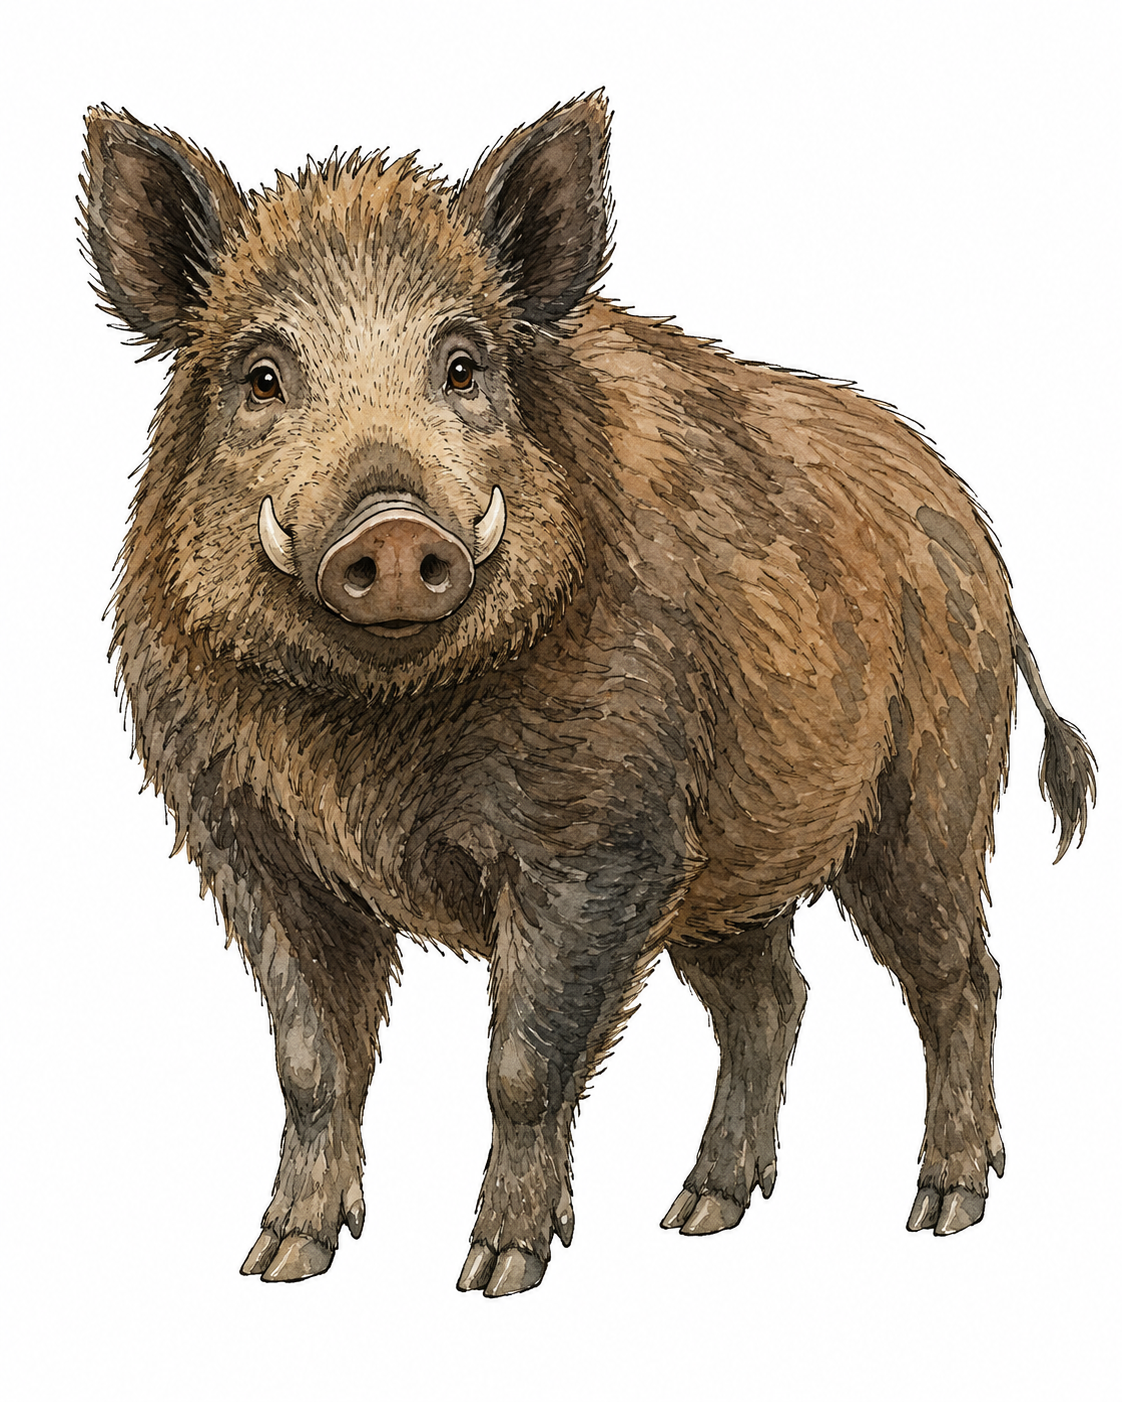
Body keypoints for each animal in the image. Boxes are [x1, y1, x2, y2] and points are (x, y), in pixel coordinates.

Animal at [81, 94, 1095, 1296]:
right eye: (263, 377)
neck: (372, 726)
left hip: (931, 790)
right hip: (733, 865)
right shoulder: (247, 845)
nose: (393, 530)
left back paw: (943, 1209)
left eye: (462, 365)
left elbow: (521, 1064)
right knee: (774, 998)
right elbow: (311, 1062)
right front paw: (279, 1262)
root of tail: (977, 534)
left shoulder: (598, 838)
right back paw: (699, 1214)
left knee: (959, 976)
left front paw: (496, 1272)